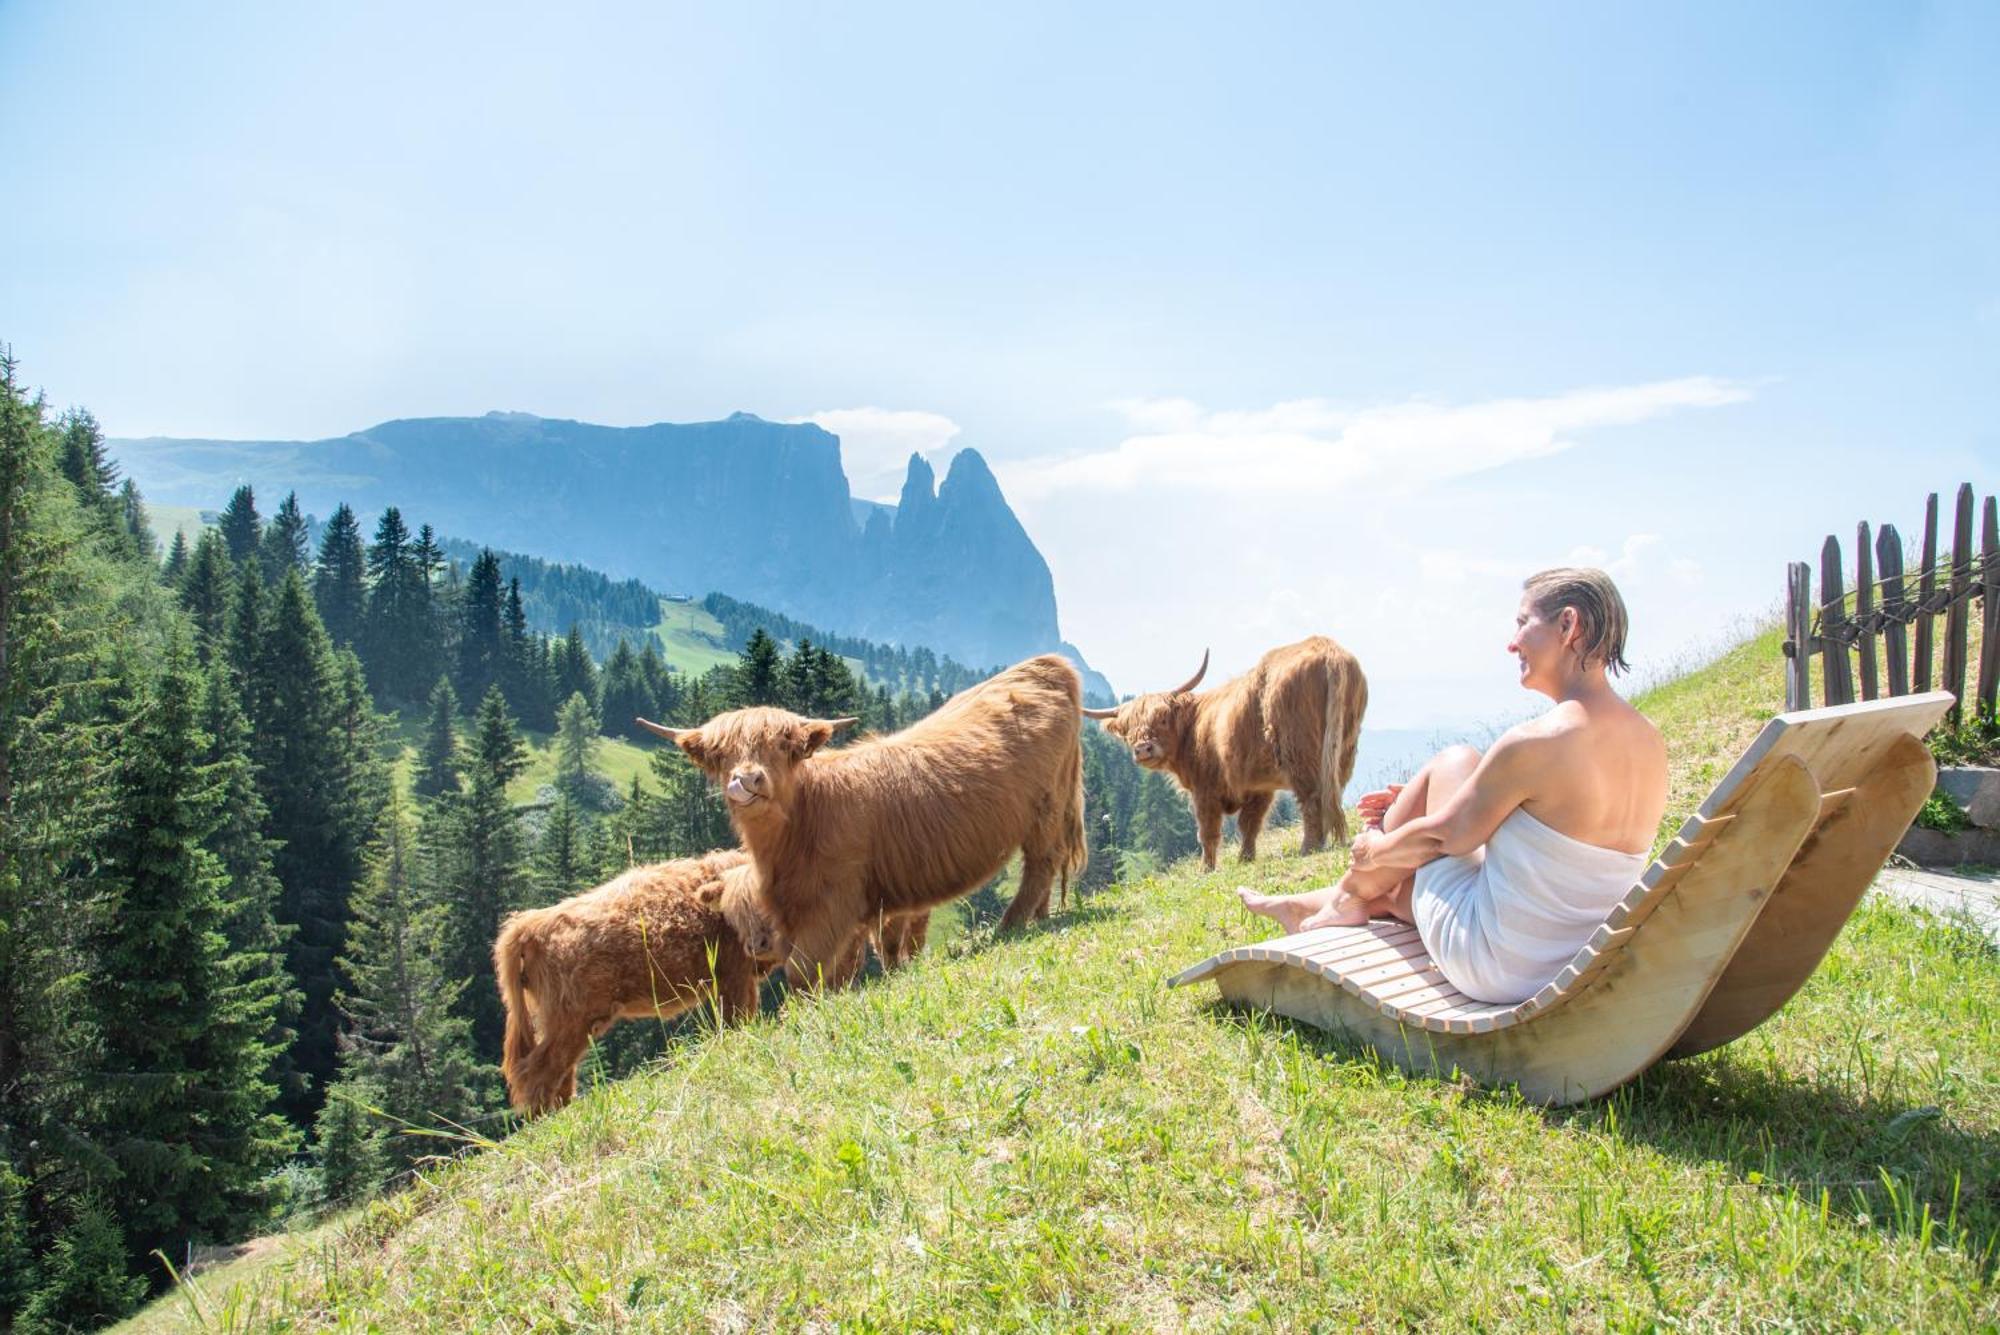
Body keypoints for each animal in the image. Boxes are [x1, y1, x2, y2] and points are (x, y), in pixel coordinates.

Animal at [496, 843, 784, 1119]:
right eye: (738, 911)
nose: (758, 944)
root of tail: (533, 923)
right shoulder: (734, 977)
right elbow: (738, 1021)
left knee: (561, 1070)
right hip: (570, 1020)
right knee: (538, 1069)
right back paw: (544, 1116)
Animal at [640, 651, 1088, 987]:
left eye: (784, 746)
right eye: (721, 754)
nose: (747, 779)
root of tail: (1044, 665)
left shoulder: (836, 900)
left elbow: (803, 971)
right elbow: (860, 958)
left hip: (1047, 805)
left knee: (1041, 863)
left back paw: (1008, 926)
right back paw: (1038, 919)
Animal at [1088, 639, 1368, 871]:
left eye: (1163, 719)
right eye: (1127, 730)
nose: (1143, 749)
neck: (1193, 728)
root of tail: (1326, 647)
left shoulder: (1204, 789)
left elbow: (1208, 831)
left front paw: (1206, 869)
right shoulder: (1259, 787)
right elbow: (1250, 824)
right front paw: (1246, 859)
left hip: (1298, 751)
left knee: (1311, 798)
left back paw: (1309, 848)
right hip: (1343, 749)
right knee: (1331, 794)